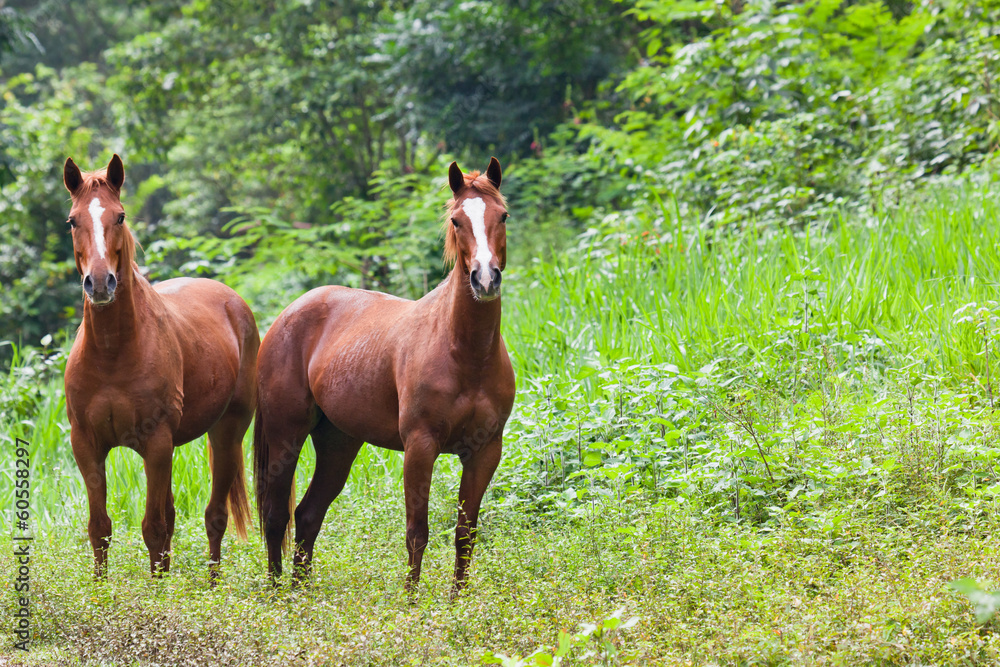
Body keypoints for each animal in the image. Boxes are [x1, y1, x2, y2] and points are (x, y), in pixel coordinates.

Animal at [62, 154, 259, 579]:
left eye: (119, 216)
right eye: (72, 220)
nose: (99, 283)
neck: (113, 353)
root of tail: (231, 300)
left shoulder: (155, 443)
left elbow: (152, 528)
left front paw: (157, 591)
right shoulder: (86, 444)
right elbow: (100, 528)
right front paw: (100, 592)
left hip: (227, 432)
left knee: (214, 516)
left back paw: (213, 585)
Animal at [253, 158, 515, 594]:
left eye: (503, 215)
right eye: (457, 220)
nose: (485, 279)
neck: (465, 353)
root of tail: (286, 315)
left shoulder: (484, 451)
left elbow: (465, 533)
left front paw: (458, 603)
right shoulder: (420, 446)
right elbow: (417, 532)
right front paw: (411, 601)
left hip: (338, 444)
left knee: (308, 516)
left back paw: (300, 593)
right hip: (285, 436)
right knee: (276, 518)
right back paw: (276, 596)